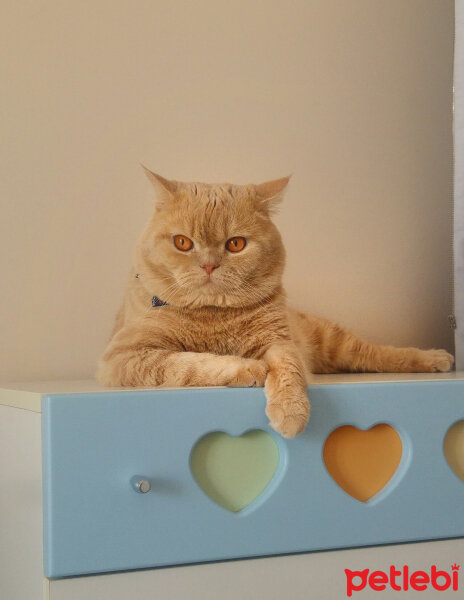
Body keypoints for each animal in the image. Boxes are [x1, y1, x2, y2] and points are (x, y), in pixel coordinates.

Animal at [97, 171, 454, 438]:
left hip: (336, 341)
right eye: (183, 242)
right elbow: (187, 363)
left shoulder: (279, 341)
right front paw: (248, 368)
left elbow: (289, 370)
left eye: (235, 244)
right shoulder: (123, 358)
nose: (209, 265)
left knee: (379, 354)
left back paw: (435, 358)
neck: (213, 314)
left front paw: (291, 412)